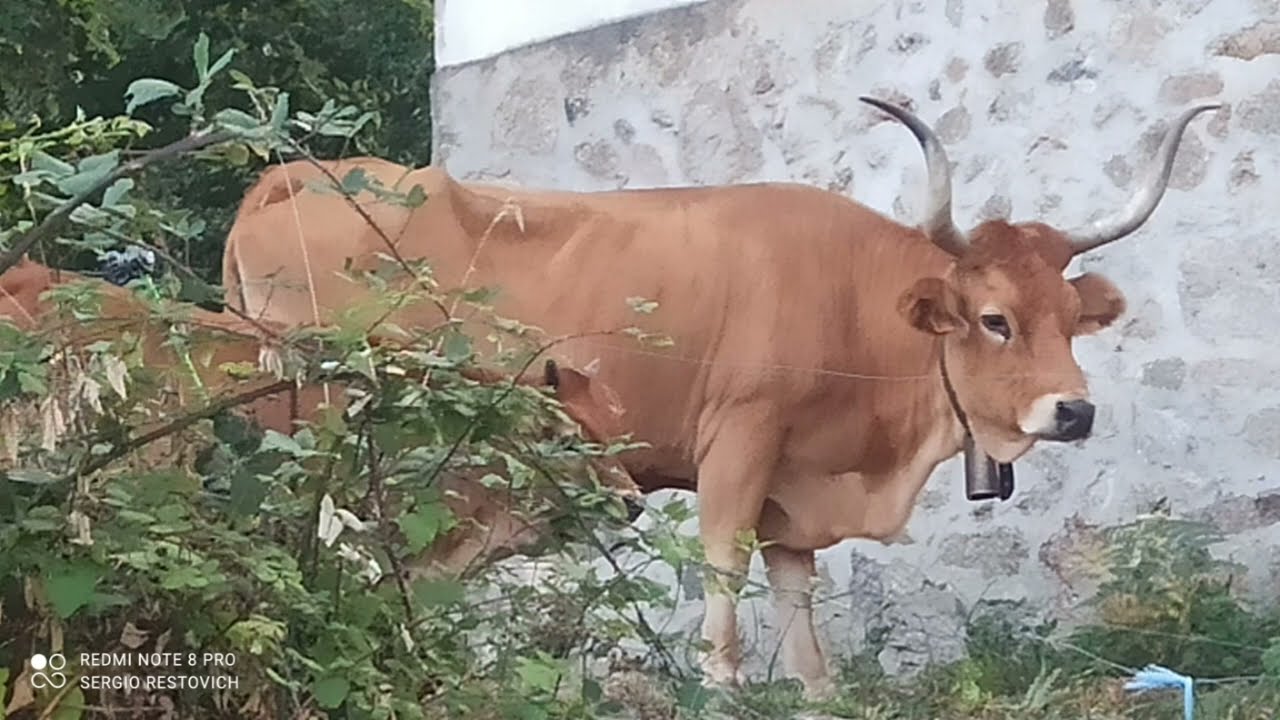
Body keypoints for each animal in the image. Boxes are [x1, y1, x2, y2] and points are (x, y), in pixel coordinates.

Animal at [220, 98, 1218, 697]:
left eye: (1073, 319)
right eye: (994, 318)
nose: (1074, 412)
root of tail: (295, 175)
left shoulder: (792, 493)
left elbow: (804, 630)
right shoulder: (737, 445)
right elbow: (723, 594)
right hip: (339, 436)